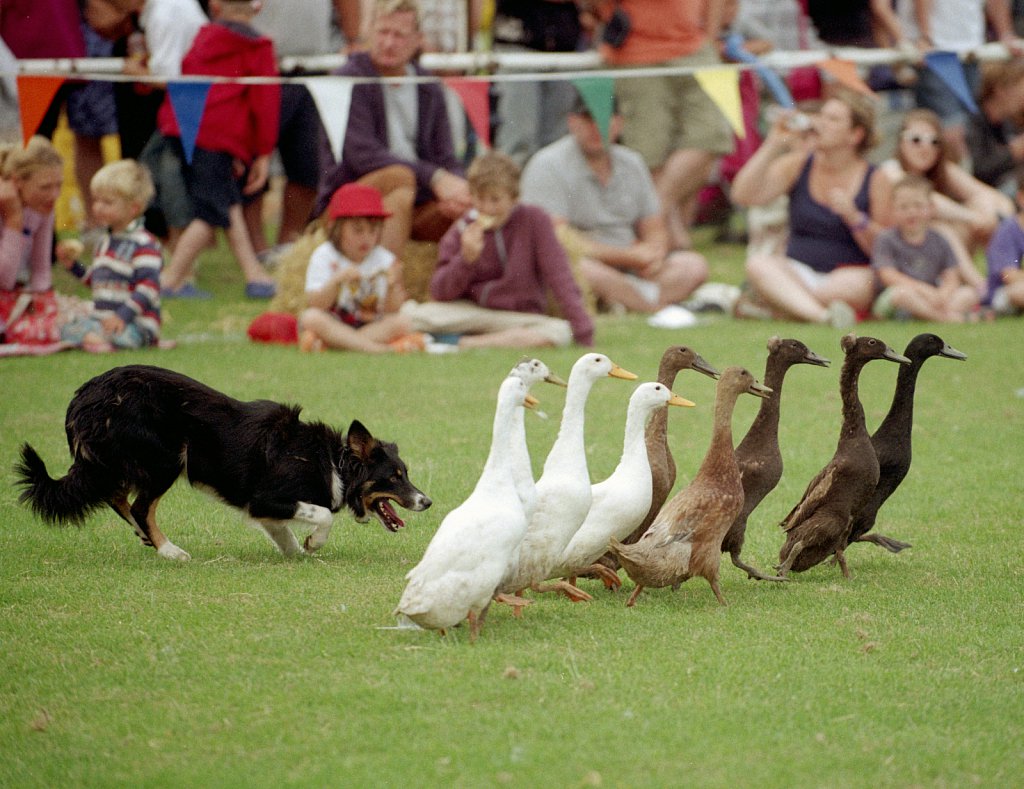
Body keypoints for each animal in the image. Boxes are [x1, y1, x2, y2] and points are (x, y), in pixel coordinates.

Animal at [17, 366, 432, 560]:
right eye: (394, 477)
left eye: (406, 474)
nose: (427, 501)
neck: (333, 460)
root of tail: (83, 397)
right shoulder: (266, 497)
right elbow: (323, 514)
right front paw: (314, 543)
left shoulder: (265, 510)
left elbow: (284, 536)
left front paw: (299, 554)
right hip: (167, 458)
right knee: (137, 505)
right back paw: (169, 550)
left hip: (122, 462)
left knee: (117, 497)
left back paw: (146, 538)